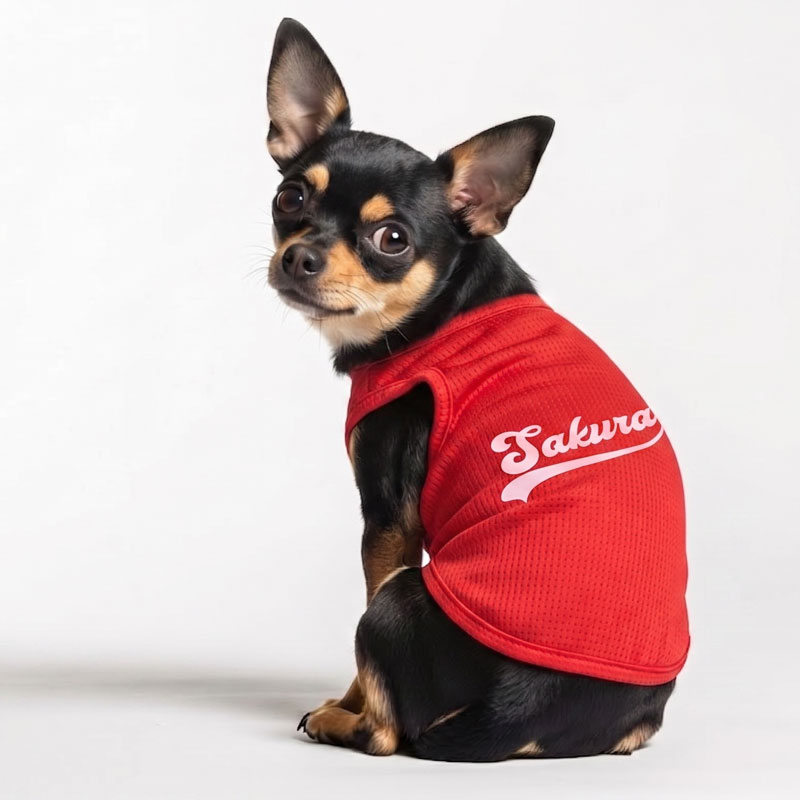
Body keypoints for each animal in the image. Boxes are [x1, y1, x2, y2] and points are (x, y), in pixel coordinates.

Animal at [265, 18, 689, 762]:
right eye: (290, 198)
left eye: (392, 239)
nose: (299, 255)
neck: (437, 313)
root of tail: (521, 715)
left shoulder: (389, 520)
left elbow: (367, 664)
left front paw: (341, 705)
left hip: (401, 600)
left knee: (386, 729)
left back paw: (349, 724)